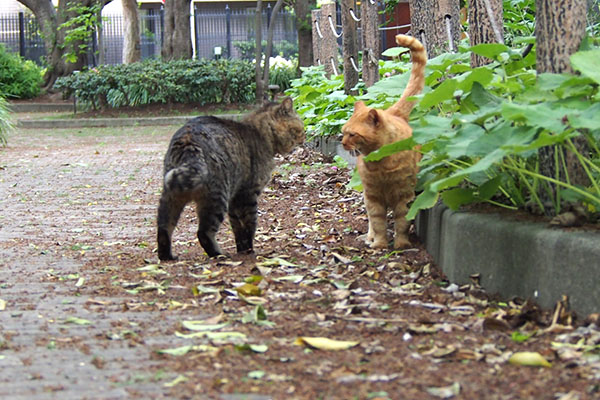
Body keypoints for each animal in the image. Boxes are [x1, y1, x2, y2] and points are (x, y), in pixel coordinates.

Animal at [157, 96, 304, 260]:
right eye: (301, 129)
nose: (304, 138)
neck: (261, 134)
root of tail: (188, 139)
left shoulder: (235, 198)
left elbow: (237, 228)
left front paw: (242, 249)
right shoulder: (247, 194)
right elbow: (249, 225)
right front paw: (249, 250)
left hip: (171, 196)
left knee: (163, 229)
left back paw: (167, 256)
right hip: (217, 198)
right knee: (203, 233)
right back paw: (219, 254)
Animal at [342, 34, 426, 248]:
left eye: (352, 134)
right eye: (343, 132)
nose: (343, 143)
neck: (381, 162)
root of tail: (393, 112)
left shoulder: (404, 195)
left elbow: (402, 221)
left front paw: (401, 245)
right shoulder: (373, 197)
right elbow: (378, 222)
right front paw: (379, 244)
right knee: (371, 222)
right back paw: (370, 237)